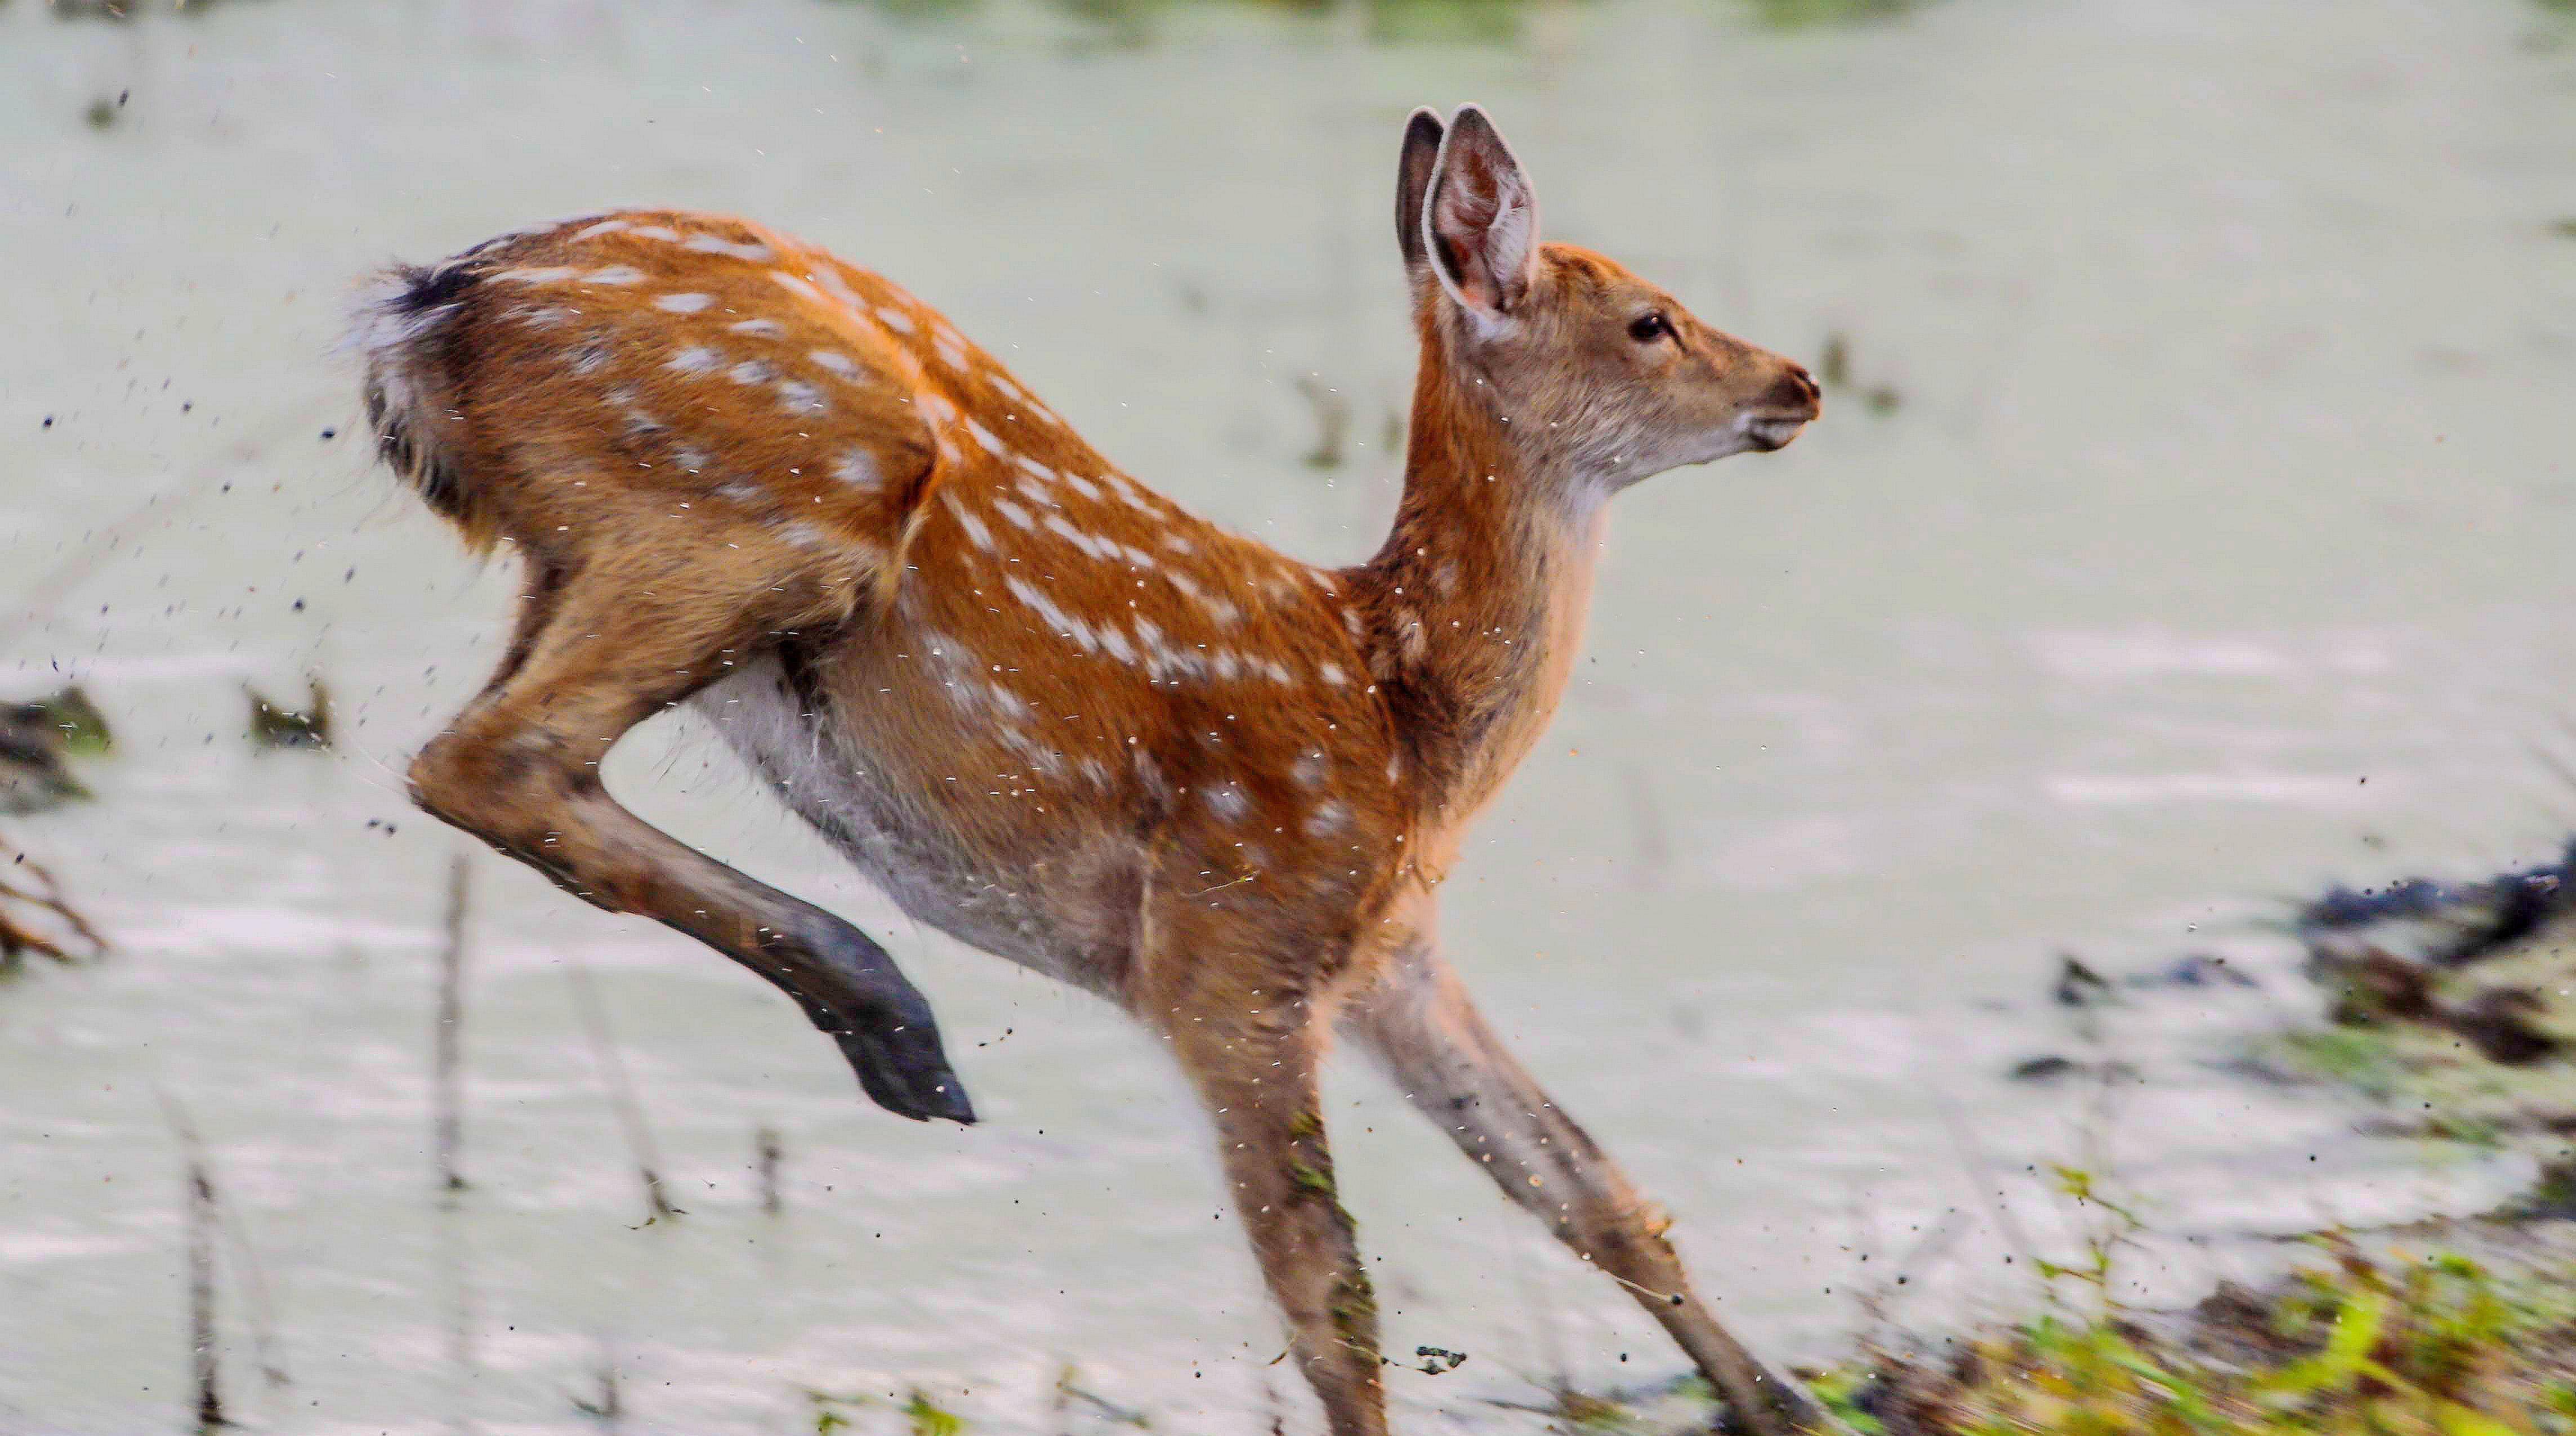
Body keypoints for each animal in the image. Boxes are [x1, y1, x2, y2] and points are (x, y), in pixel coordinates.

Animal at [347, 104, 1834, 1433]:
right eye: (1650, 318)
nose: (1798, 382)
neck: (1405, 714)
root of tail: (424, 313)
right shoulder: (1232, 944)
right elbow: (1327, 1295)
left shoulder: (1386, 953)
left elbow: (1591, 1190)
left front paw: (1787, 1408)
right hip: (781, 500)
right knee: (484, 756)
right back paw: (890, 1014)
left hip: (588, 558)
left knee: (494, 754)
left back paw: (889, 1030)